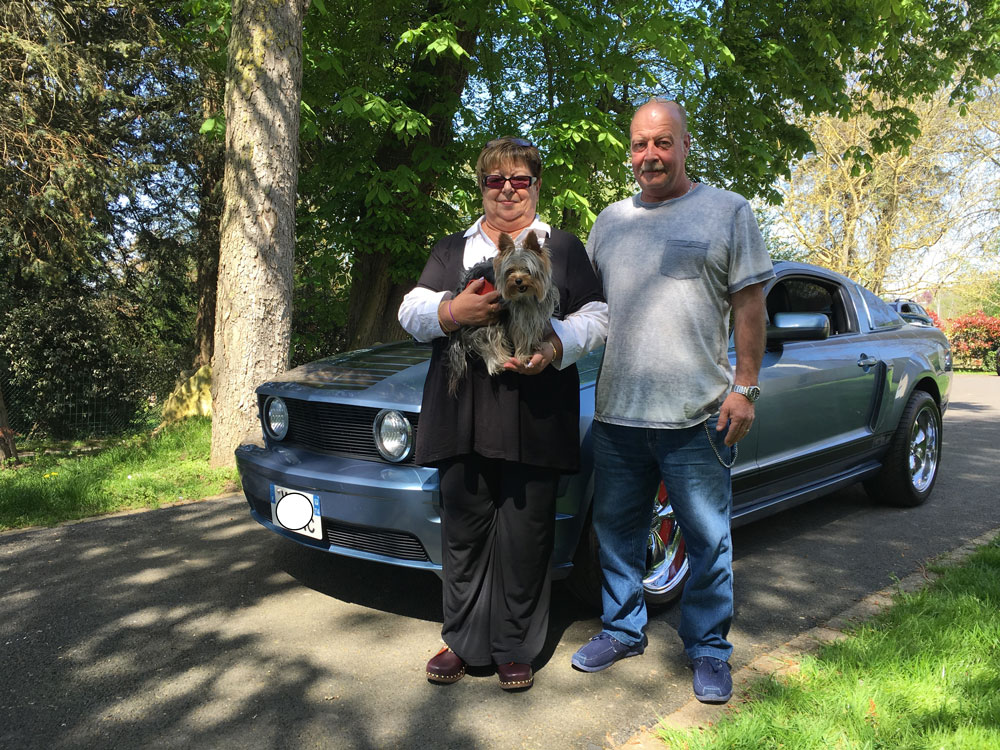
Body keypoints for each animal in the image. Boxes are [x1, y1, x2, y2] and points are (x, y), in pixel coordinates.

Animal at [448, 231, 560, 396]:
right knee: (486, 336)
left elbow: (529, 331)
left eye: (528, 270)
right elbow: (519, 334)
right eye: (510, 271)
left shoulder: (533, 313)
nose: (518, 280)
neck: (526, 297)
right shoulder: (514, 314)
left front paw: (533, 346)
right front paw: (523, 356)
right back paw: (498, 362)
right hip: (485, 317)